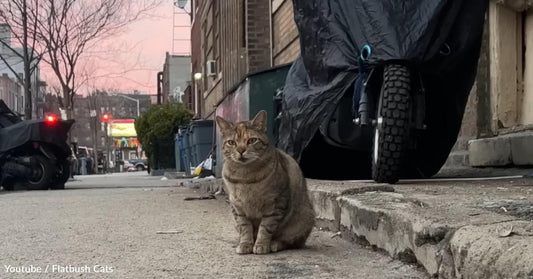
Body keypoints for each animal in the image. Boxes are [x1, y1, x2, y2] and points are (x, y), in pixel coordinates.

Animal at [216, 110, 316, 255]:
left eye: (252, 140)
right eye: (231, 142)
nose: (241, 150)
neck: (244, 176)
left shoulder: (275, 204)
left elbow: (265, 228)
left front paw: (261, 244)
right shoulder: (237, 207)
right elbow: (244, 227)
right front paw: (245, 244)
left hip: (303, 219)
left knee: (293, 242)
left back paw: (275, 244)